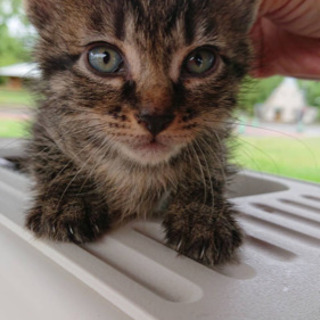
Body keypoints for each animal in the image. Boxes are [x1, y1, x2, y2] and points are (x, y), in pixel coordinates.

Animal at [25, 0, 260, 264]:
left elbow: (212, 165)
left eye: (200, 60)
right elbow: (49, 152)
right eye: (104, 58)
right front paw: (68, 200)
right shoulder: (48, 122)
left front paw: (203, 213)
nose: (155, 119)